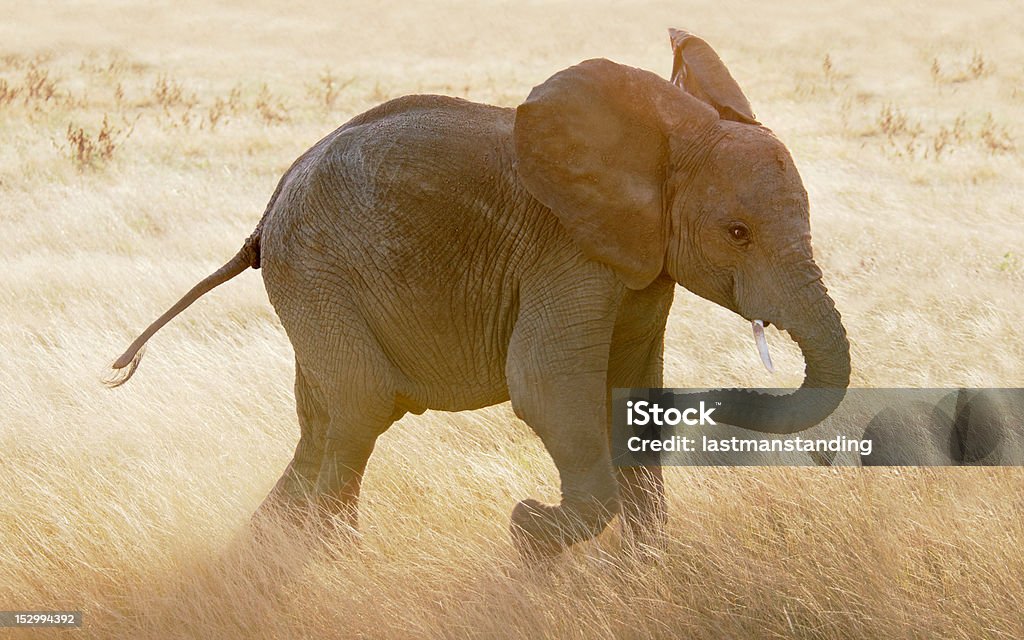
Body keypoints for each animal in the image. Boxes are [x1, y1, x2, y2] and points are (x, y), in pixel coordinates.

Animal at [108, 29, 851, 557]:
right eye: (737, 232)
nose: (730, 397)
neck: (659, 142)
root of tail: (266, 214)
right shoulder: (568, 254)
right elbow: (547, 387)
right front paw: (528, 531)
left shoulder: (641, 265)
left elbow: (635, 397)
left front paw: (646, 572)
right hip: (314, 273)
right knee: (361, 406)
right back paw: (333, 561)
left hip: (309, 282)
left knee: (320, 421)